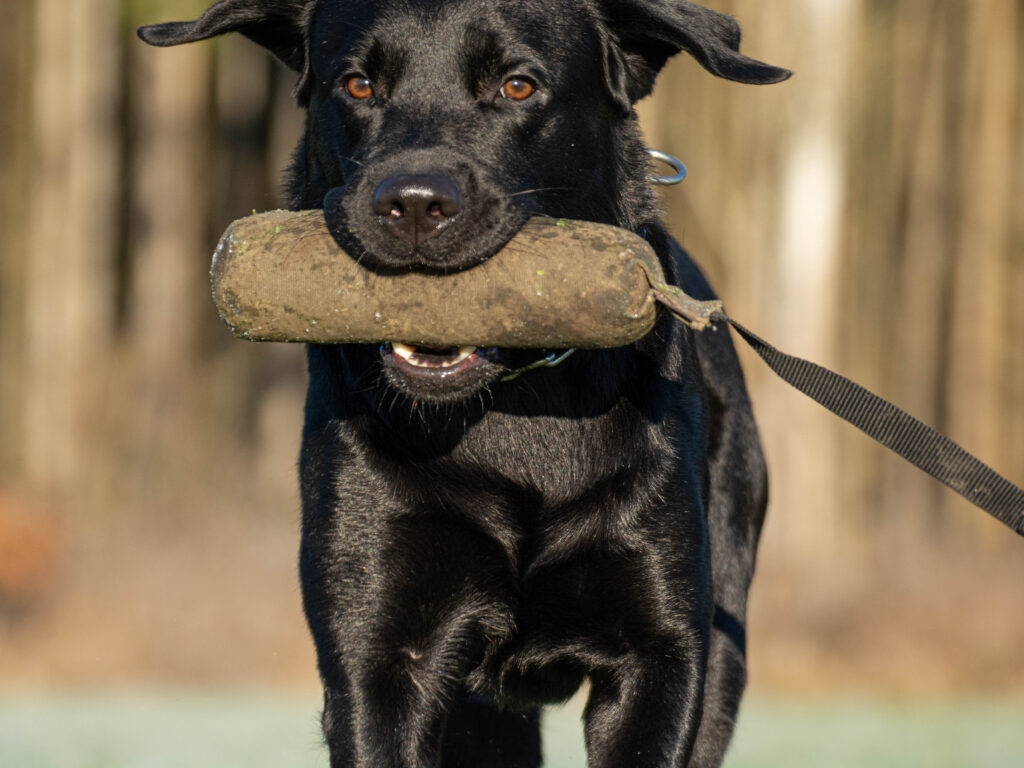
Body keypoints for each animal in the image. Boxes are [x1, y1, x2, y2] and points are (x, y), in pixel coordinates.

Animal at [140, 3, 786, 765]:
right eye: (358, 84)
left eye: (517, 85)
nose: (414, 204)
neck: (514, 411)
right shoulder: (377, 656)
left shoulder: (663, 659)